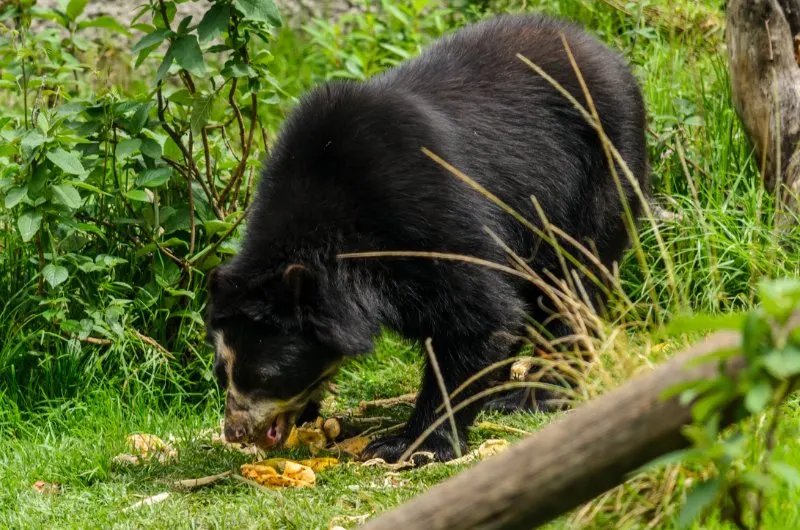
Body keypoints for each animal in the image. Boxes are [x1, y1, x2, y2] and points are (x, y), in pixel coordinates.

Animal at [203, 10, 648, 460]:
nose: (235, 431)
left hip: (599, 168)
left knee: (574, 281)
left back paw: (539, 395)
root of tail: (604, 51)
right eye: (223, 373)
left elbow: (482, 317)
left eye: (266, 375)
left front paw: (409, 445)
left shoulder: (424, 215)